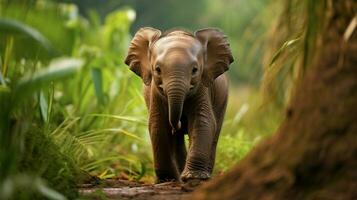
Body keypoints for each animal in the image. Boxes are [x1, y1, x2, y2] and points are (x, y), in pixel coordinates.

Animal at [124, 27, 232, 183]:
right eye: (157, 69)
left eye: (195, 70)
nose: (180, 123)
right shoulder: (155, 93)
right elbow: (158, 124)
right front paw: (166, 180)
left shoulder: (202, 88)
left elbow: (203, 121)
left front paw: (193, 177)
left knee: (215, 131)